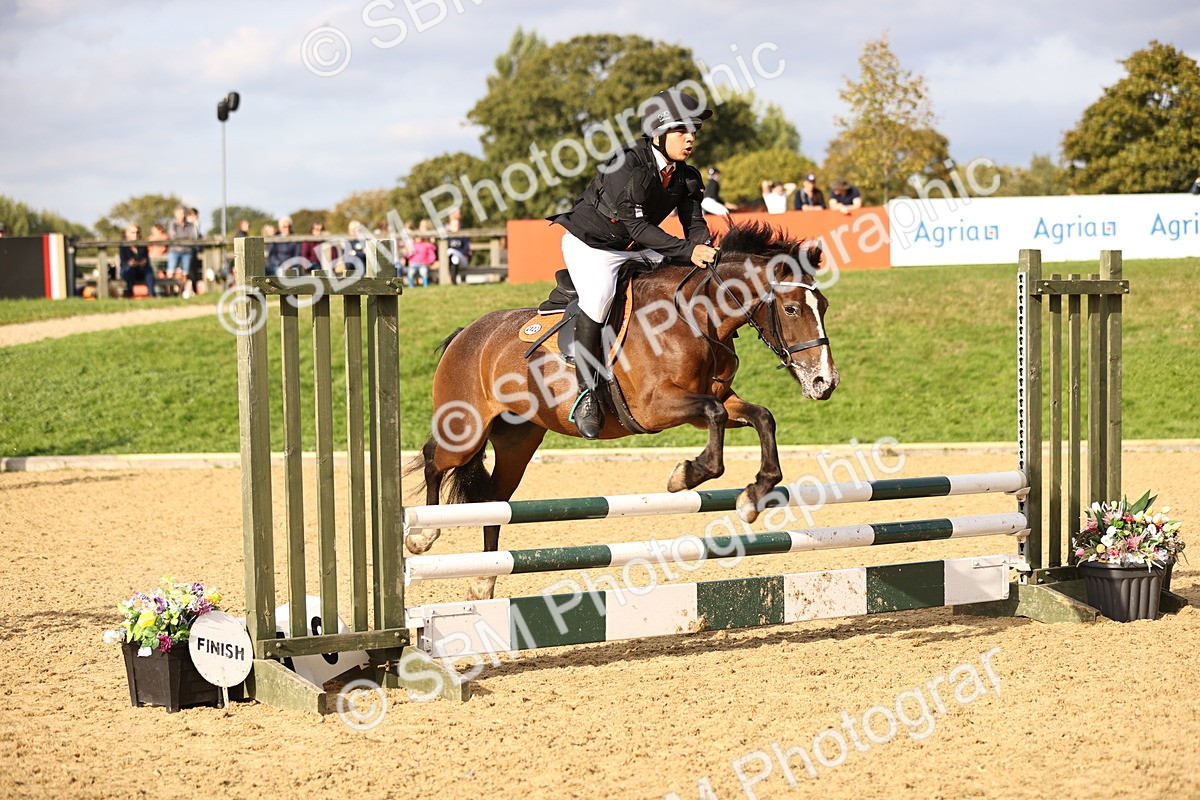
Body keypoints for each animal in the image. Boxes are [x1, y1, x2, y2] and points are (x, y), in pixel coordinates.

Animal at [406, 220, 840, 600]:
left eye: (823, 305)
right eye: (791, 309)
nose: (825, 383)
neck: (694, 317)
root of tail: (465, 334)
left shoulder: (711, 400)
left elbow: (761, 416)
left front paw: (753, 496)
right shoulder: (655, 407)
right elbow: (715, 419)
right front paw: (685, 475)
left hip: (518, 441)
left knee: (496, 499)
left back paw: (484, 583)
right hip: (466, 430)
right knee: (433, 459)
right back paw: (421, 536)